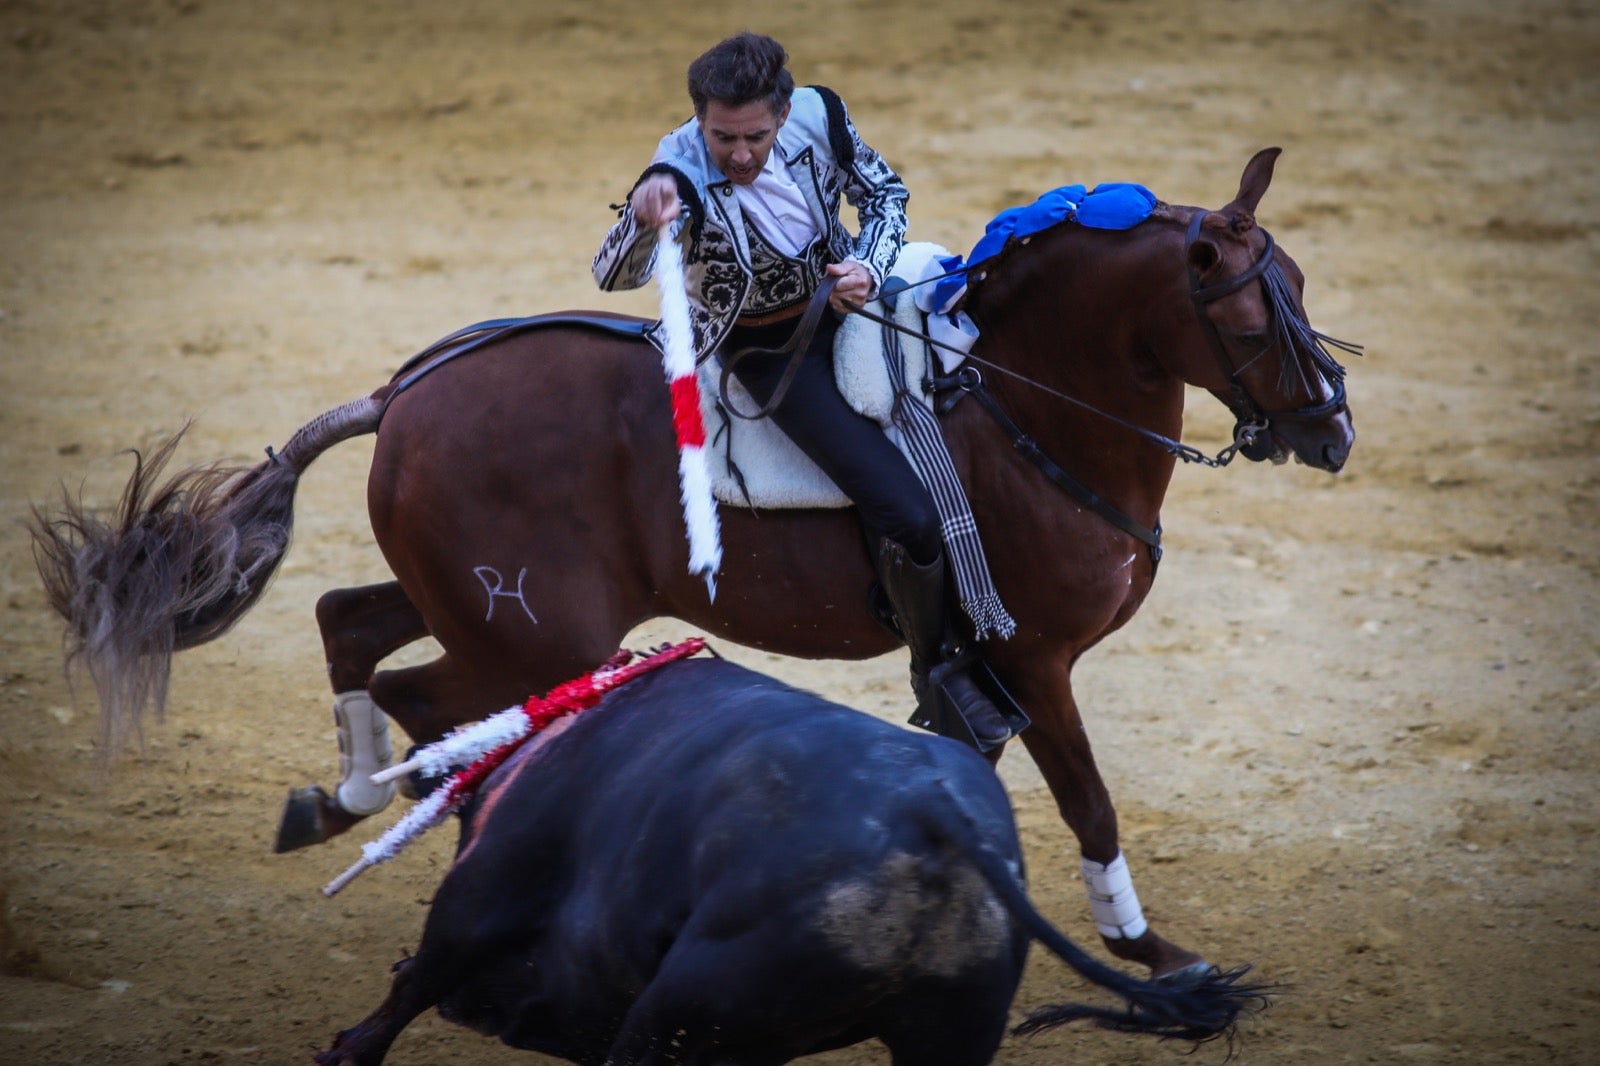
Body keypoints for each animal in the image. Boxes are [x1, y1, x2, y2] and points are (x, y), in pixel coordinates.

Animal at [31, 147, 1350, 979]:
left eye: (1299, 285)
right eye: (1247, 315)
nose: (1332, 430)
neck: (1017, 402)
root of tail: (404, 392)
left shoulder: (994, 671)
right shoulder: (1030, 661)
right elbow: (1086, 798)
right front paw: (1150, 954)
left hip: (471, 601)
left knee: (350, 622)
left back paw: (344, 800)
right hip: (537, 629)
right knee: (428, 695)